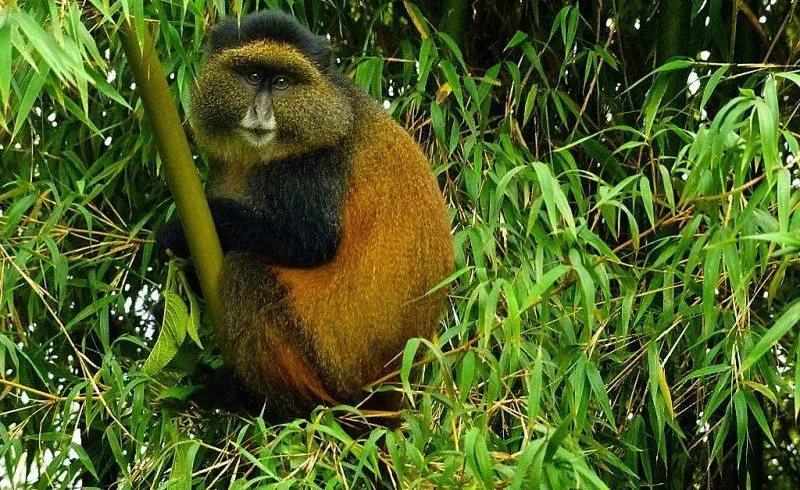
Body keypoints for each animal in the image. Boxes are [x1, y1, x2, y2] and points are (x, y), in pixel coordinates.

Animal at [158, 10, 454, 421]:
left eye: (282, 82)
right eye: (253, 76)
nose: (261, 112)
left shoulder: (315, 164)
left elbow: (311, 243)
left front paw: (178, 232)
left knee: (246, 273)